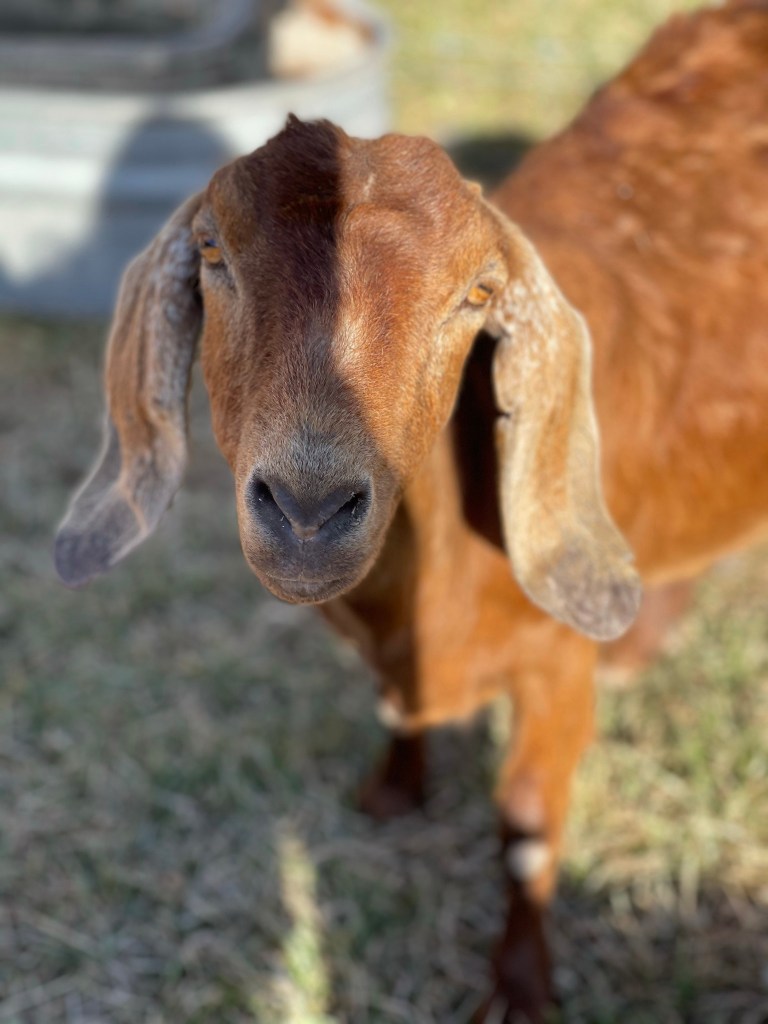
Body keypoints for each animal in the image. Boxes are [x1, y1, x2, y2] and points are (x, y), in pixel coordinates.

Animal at [54, 1, 768, 1019]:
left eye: (476, 294)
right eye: (213, 252)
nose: (308, 509)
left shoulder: (555, 664)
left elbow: (527, 828)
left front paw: (518, 988)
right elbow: (397, 713)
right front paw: (394, 791)